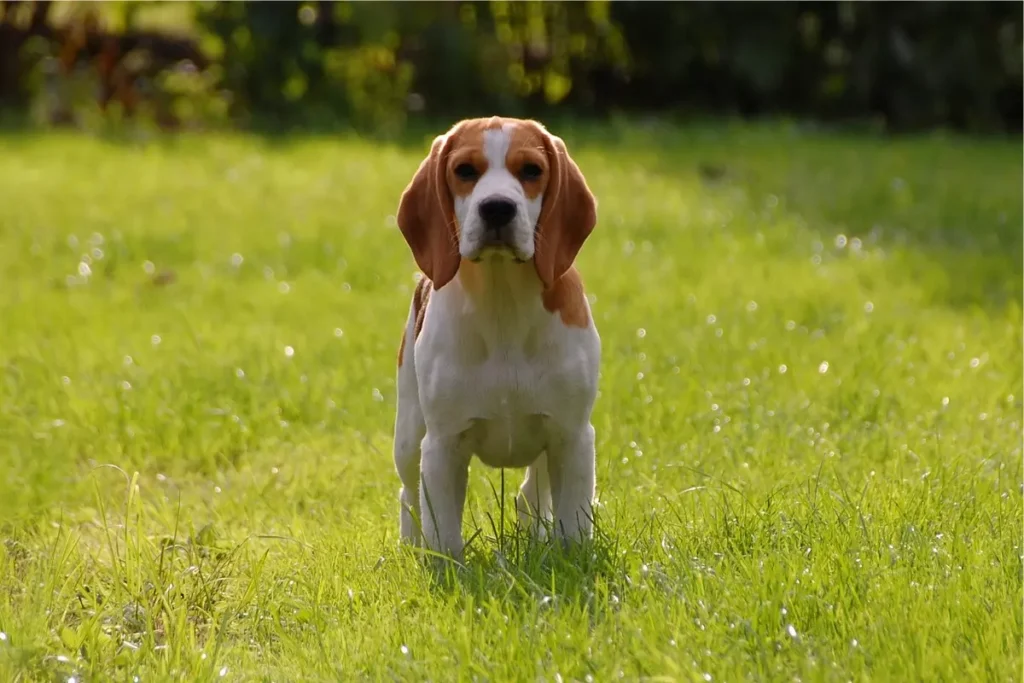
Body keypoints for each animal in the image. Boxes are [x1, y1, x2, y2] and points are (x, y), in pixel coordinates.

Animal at [391, 117, 598, 561]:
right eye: (465, 170)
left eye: (532, 171)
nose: (498, 207)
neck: (503, 299)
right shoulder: (442, 445)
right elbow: (443, 534)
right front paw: (446, 567)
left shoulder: (572, 436)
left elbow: (572, 524)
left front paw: (570, 560)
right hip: (409, 437)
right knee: (409, 496)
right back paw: (411, 547)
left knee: (530, 493)